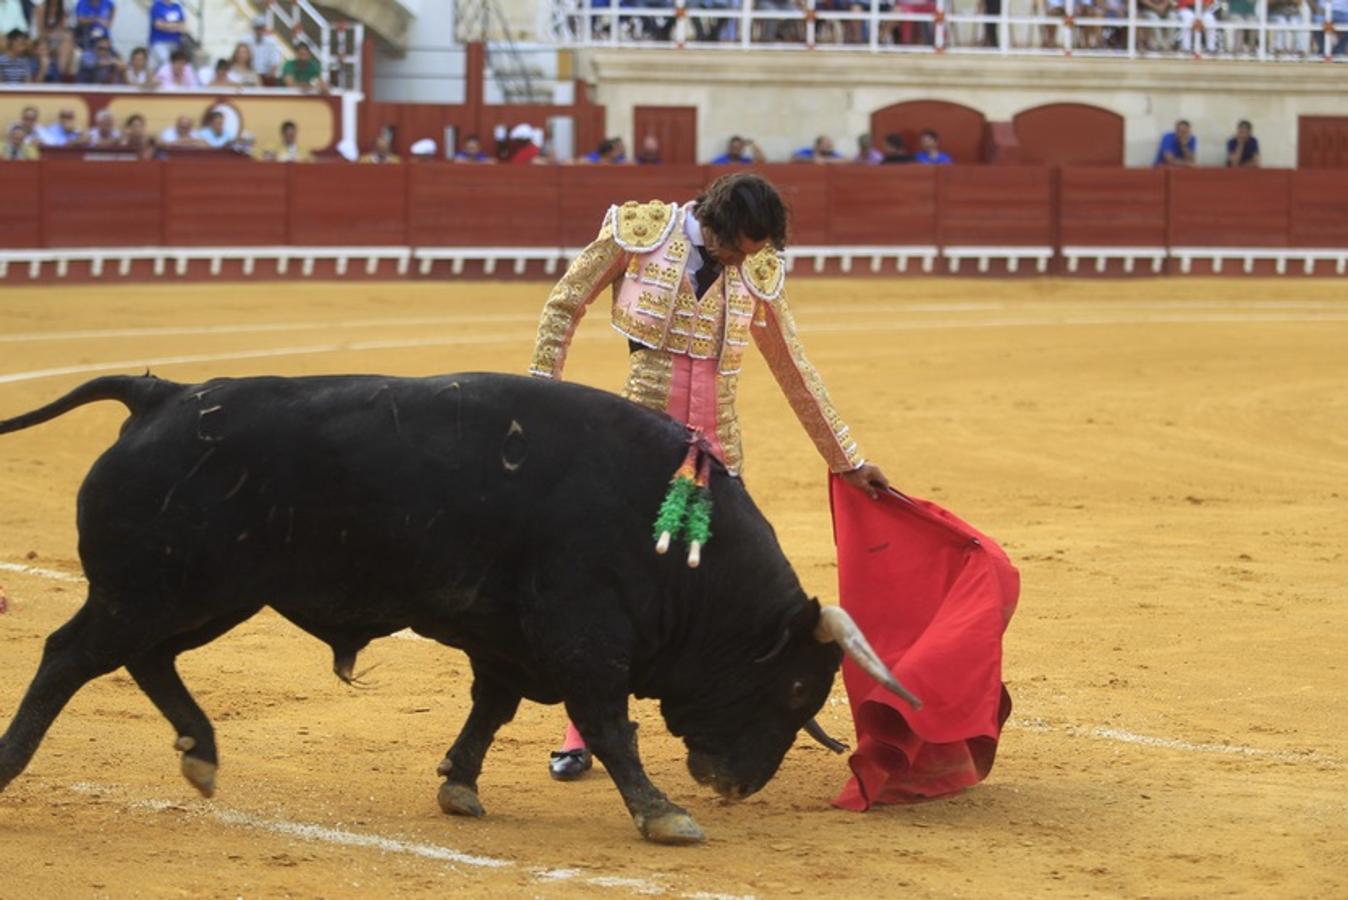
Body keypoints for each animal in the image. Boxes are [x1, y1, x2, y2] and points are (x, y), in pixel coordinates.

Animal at [0, 371, 916, 846]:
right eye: (794, 689)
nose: (738, 785)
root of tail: (164, 393)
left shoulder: (510, 642)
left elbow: (491, 709)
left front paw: (459, 787)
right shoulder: (584, 635)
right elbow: (609, 723)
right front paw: (664, 814)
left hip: (204, 597)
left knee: (145, 658)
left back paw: (202, 754)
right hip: (157, 590)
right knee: (69, 654)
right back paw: (14, 764)